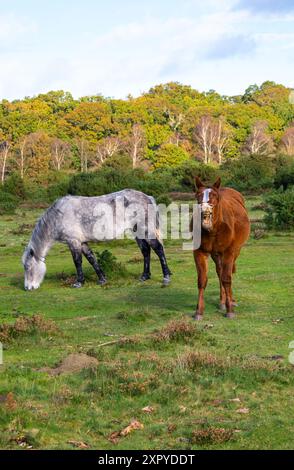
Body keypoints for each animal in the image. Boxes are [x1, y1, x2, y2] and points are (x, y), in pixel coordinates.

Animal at [21, 189, 171, 292]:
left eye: (28, 267)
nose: (28, 288)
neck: (59, 215)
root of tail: (148, 197)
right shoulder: (82, 242)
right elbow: (92, 259)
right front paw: (102, 279)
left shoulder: (73, 242)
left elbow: (78, 262)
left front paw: (79, 283)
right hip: (137, 232)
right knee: (146, 251)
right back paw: (144, 276)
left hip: (145, 230)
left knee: (158, 249)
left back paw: (166, 277)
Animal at [193, 176, 250, 320]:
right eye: (197, 195)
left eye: (214, 196)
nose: (205, 213)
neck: (214, 230)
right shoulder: (199, 252)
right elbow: (202, 280)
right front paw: (199, 311)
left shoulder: (229, 252)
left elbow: (226, 278)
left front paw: (230, 310)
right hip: (216, 254)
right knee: (220, 272)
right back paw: (222, 301)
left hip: (234, 252)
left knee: (226, 274)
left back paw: (230, 301)